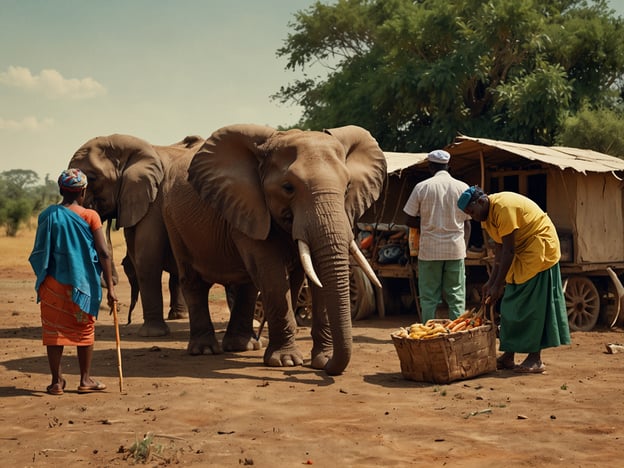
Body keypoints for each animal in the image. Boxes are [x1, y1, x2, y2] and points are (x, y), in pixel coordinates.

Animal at [68, 134, 205, 336]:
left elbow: (145, 256)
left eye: (92, 178)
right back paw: (178, 316)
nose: (116, 309)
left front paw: (152, 334)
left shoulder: (154, 198)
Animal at [166, 122, 388, 374]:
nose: (329, 367)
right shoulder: (250, 207)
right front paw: (287, 362)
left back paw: (244, 347)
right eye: (288, 187)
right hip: (173, 221)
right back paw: (205, 350)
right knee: (193, 280)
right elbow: (273, 275)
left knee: (248, 285)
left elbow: (309, 279)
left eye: (348, 186)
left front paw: (321, 360)